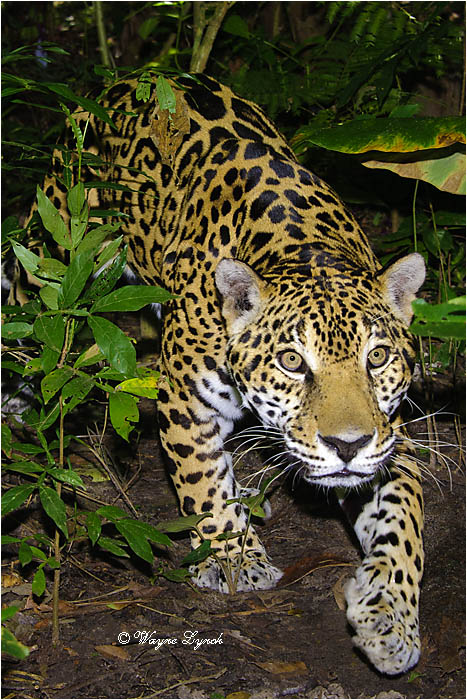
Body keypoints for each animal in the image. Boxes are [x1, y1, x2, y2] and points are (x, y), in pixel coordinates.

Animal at [34, 74, 426, 675]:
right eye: (293, 361)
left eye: (377, 358)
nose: (347, 445)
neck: (308, 251)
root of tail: (129, 80)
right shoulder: (184, 398)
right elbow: (202, 483)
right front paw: (232, 559)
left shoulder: (389, 433)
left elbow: (404, 524)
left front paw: (389, 618)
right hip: (59, 245)